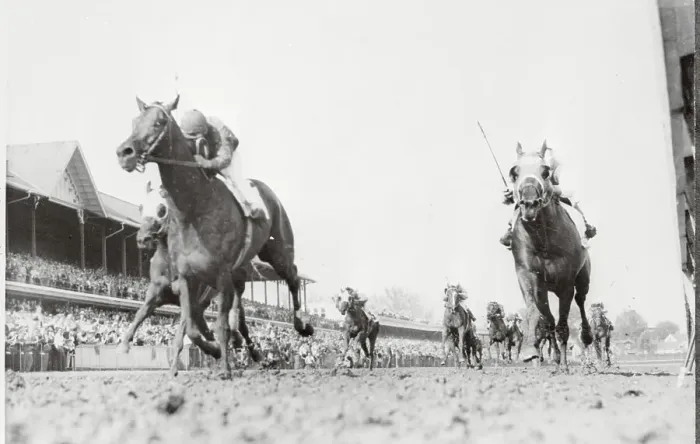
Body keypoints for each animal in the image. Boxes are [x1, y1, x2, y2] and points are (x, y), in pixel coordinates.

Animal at [116, 181, 264, 376]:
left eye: (161, 209)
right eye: (141, 207)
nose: (142, 239)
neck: (169, 261)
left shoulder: (191, 296)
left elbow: (191, 331)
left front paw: (216, 349)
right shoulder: (158, 292)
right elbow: (140, 313)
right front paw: (124, 344)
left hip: (233, 285)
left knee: (240, 321)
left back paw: (251, 351)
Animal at [507, 141, 593, 370]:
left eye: (545, 171)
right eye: (514, 172)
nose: (529, 203)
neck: (543, 240)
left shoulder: (566, 283)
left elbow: (563, 323)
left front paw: (564, 364)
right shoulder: (529, 275)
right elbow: (536, 312)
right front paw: (530, 350)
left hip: (583, 278)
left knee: (581, 300)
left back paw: (584, 339)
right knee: (549, 321)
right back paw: (553, 356)